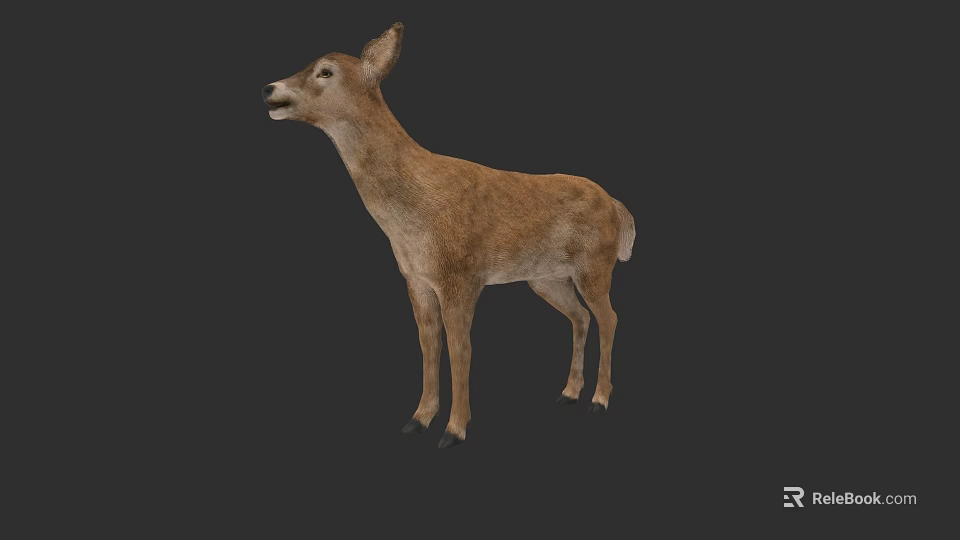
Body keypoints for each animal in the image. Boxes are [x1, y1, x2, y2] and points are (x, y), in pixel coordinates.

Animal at [262, 23, 635, 448]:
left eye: (325, 71)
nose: (269, 88)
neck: (414, 211)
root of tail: (616, 206)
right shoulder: (417, 280)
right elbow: (429, 345)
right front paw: (419, 419)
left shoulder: (461, 275)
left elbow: (461, 349)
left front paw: (455, 430)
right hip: (547, 278)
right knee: (580, 318)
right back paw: (569, 393)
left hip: (596, 265)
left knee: (609, 318)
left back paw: (599, 400)